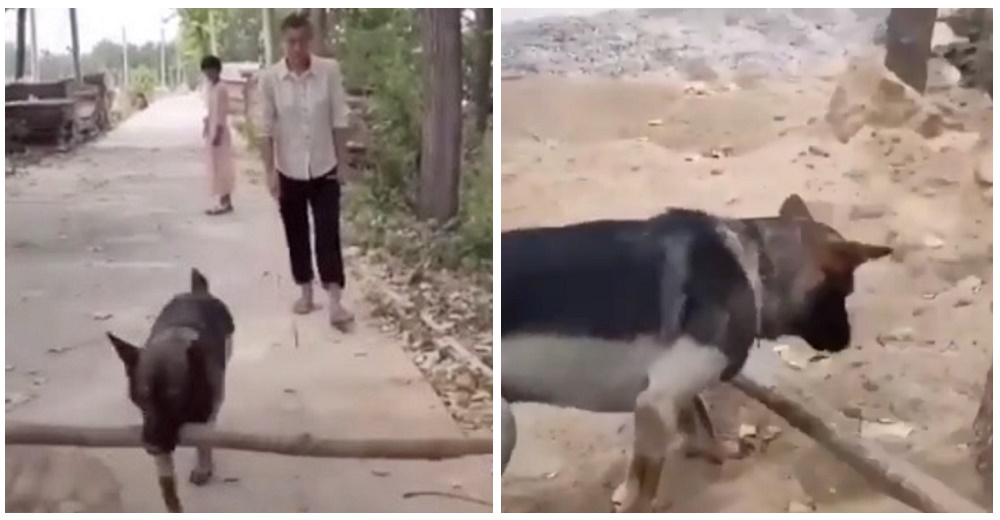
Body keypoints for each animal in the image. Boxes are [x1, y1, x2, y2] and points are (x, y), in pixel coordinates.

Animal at [106, 268, 233, 512]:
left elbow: (203, 443)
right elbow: (166, 483)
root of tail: (196, 292)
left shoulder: (203, 417)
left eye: (174, 397)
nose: (152, 447)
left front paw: (203, 467)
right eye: (143, 396)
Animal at [500, 194, 892, 512]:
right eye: (844, 291)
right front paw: (638, 501)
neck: (755, 268)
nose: (845, 342)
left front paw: (712, 450)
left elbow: (696, 418)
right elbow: (648, 476)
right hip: (507, 427)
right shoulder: (656, 401)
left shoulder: (666, 395)